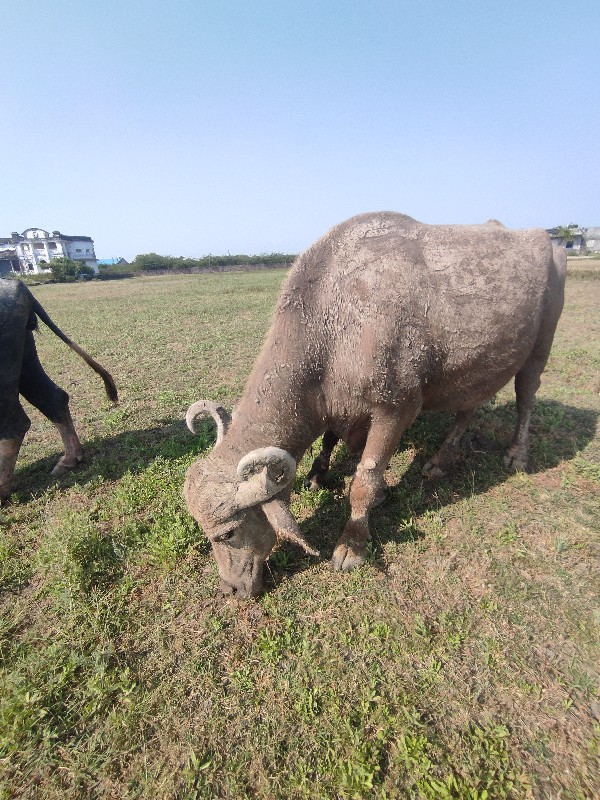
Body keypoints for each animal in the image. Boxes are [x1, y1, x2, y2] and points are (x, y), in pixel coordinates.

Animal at [183, 209, 568, 596]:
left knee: (526, 395)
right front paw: (318, 473)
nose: (230, 589)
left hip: (541, 345)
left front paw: (352, 543)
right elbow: (330, 438)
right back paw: (441, 460)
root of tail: (550, 243)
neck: (336, 325)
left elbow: (364, 480)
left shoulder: (396, 410)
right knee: (468, 407)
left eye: (228, 533)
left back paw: (516, 453)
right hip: (474, 368)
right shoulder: (338, 405)